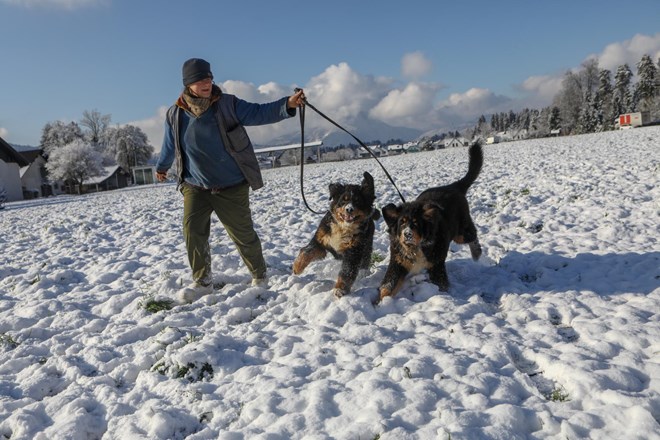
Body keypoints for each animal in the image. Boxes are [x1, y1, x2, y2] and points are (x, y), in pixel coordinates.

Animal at [296, 172, 382, 300]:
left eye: (357, 202)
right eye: (343, 201)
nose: (349, 209)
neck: (343, 227)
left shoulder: (354, 251)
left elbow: (346, 271)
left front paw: (340, 289)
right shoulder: (321, 239)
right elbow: (307, 251)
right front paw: (297, 267)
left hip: (367, 246)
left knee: (365, 261)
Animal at [376, 143, 484, 304]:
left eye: (416, 223)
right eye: (402, 223)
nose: (407, 234)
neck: (417, 247)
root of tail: (454, 186)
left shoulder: (436, 265)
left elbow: (441, 285)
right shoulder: (398, 261)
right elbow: (389, 284)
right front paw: (381, 303)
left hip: (461, 232)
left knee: (472, 235)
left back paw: (476, 253)